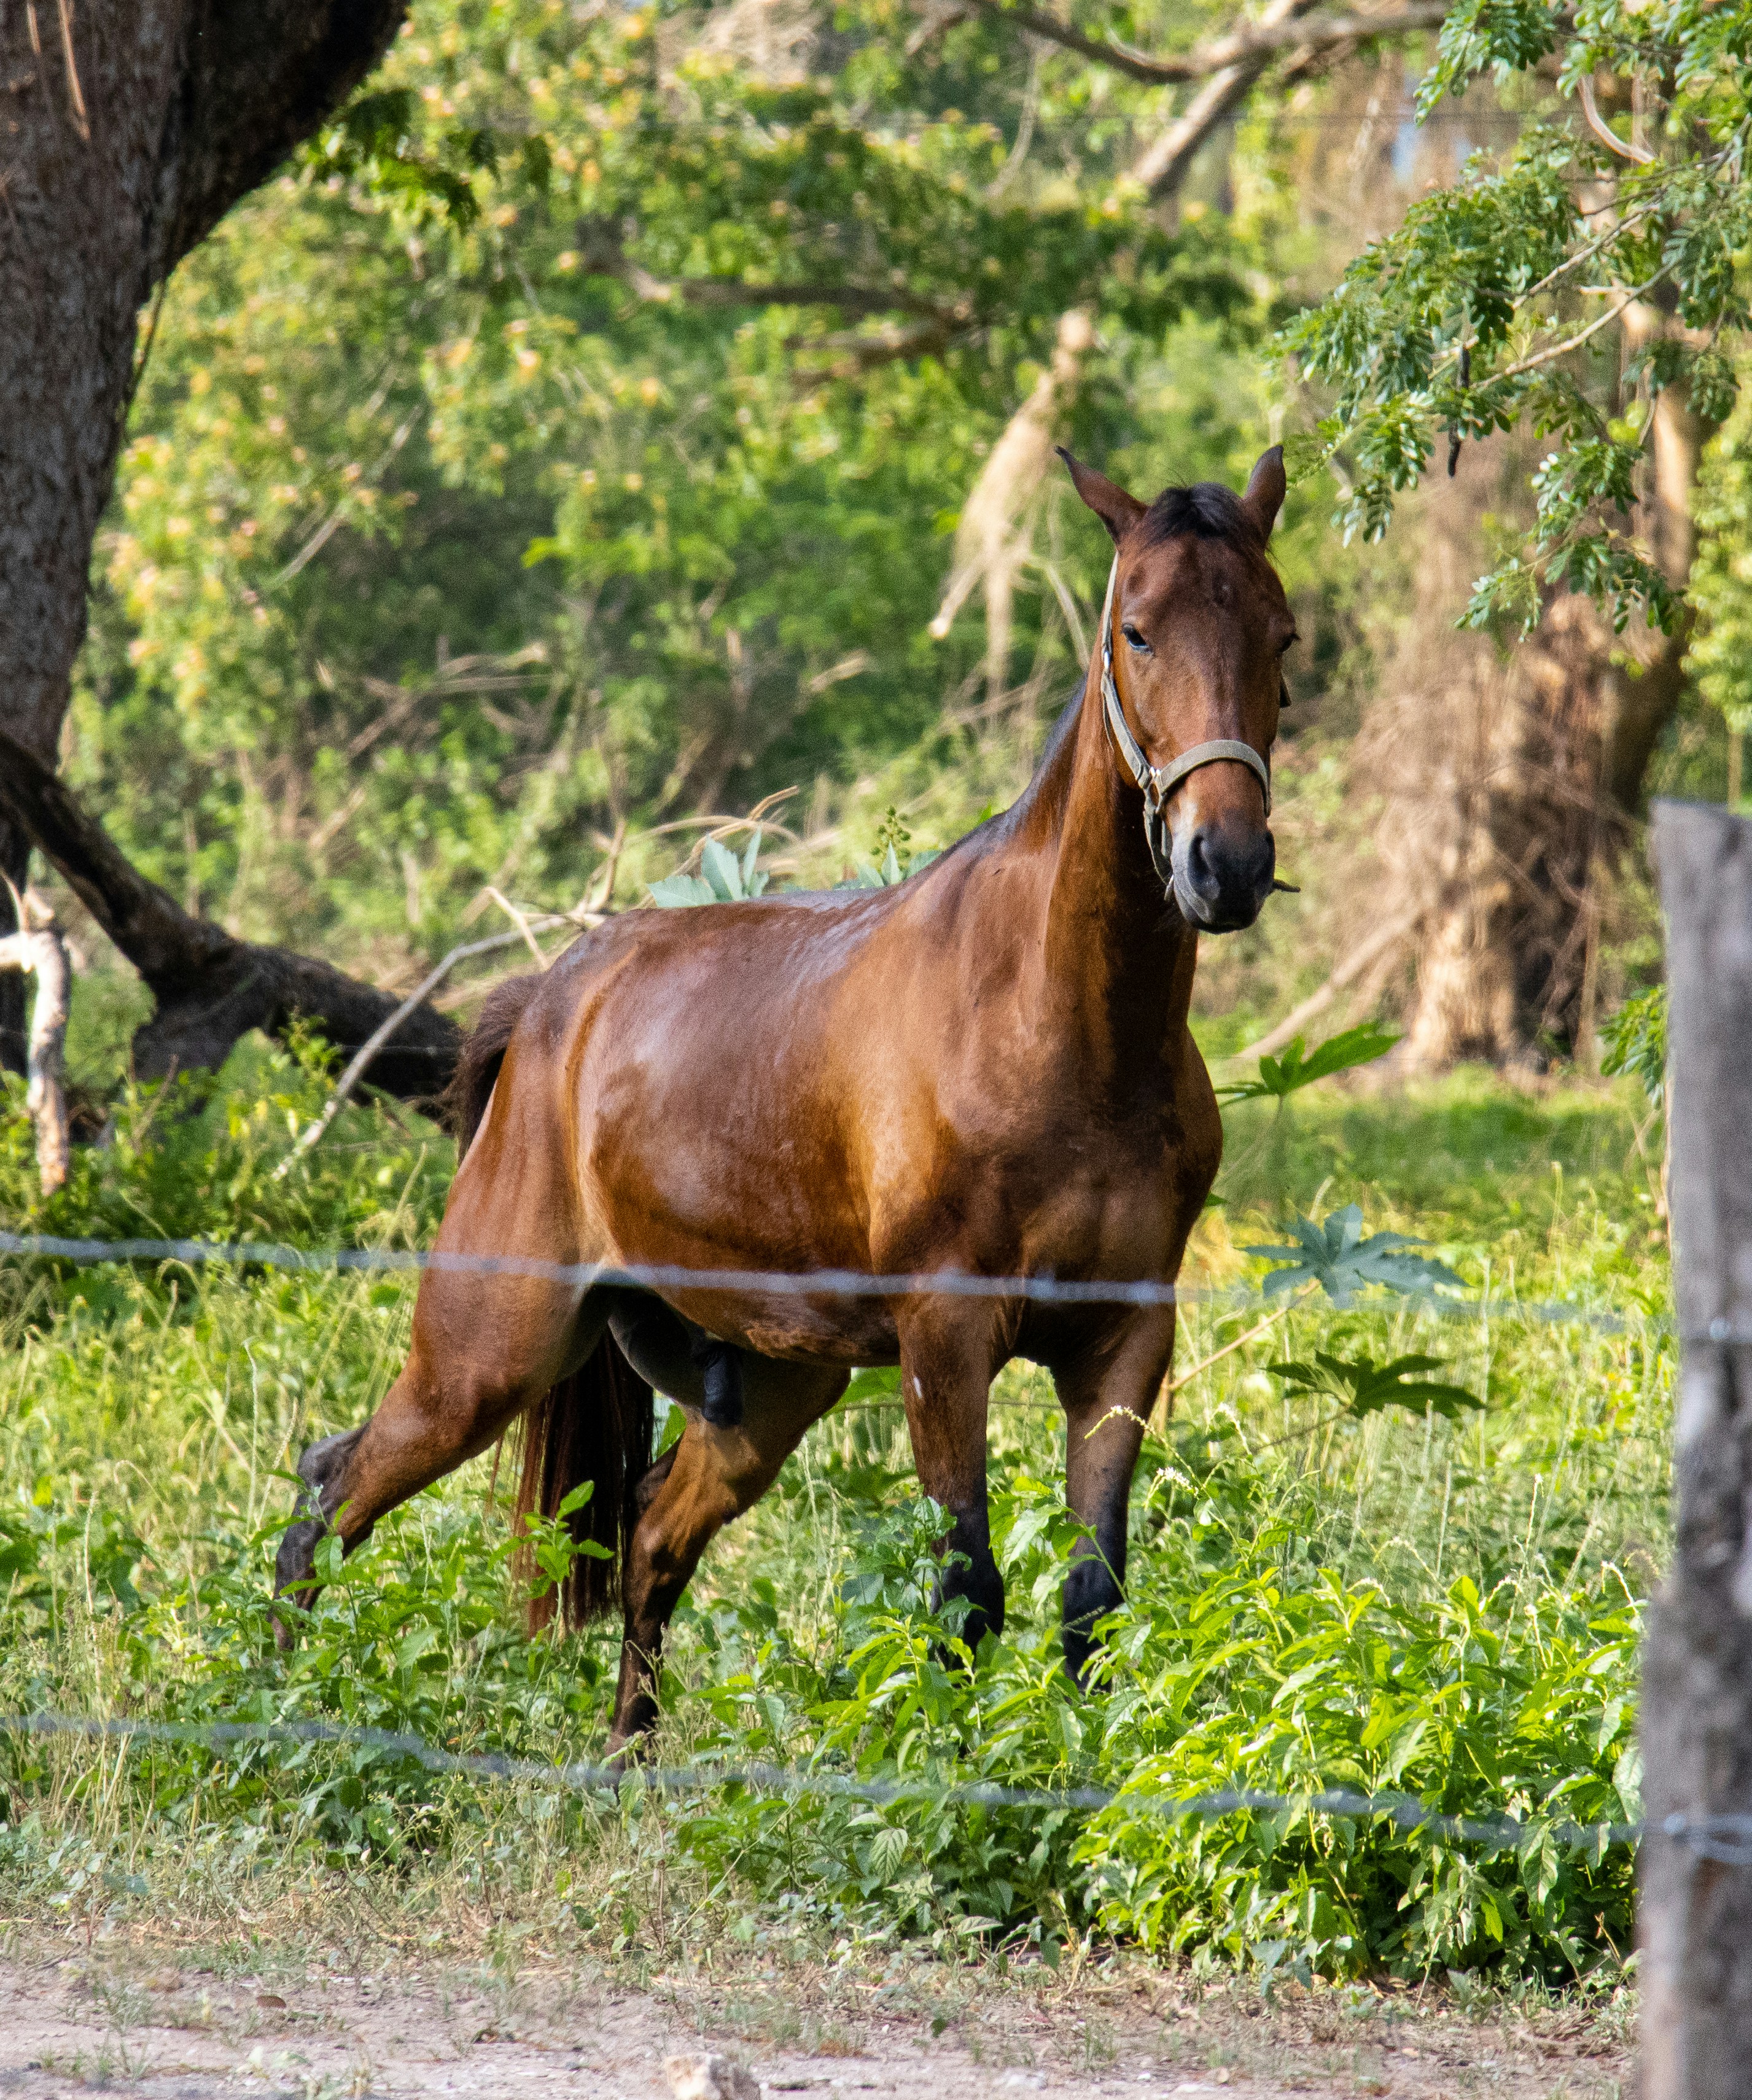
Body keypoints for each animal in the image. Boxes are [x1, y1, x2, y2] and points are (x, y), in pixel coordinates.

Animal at [275, 445, 1297, 1753]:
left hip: (763, 1387)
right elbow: (965, 1593)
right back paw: (271, 1713)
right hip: (485, 1358)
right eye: (1136, 630)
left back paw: (625, 1757)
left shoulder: (1123, 1340)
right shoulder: (944, 1338)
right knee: (329, 1500)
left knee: (651, 1539)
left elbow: (1089, 1601)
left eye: (1278, 634)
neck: (1060, 1028)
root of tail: (552, 1001)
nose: (1225, 865)